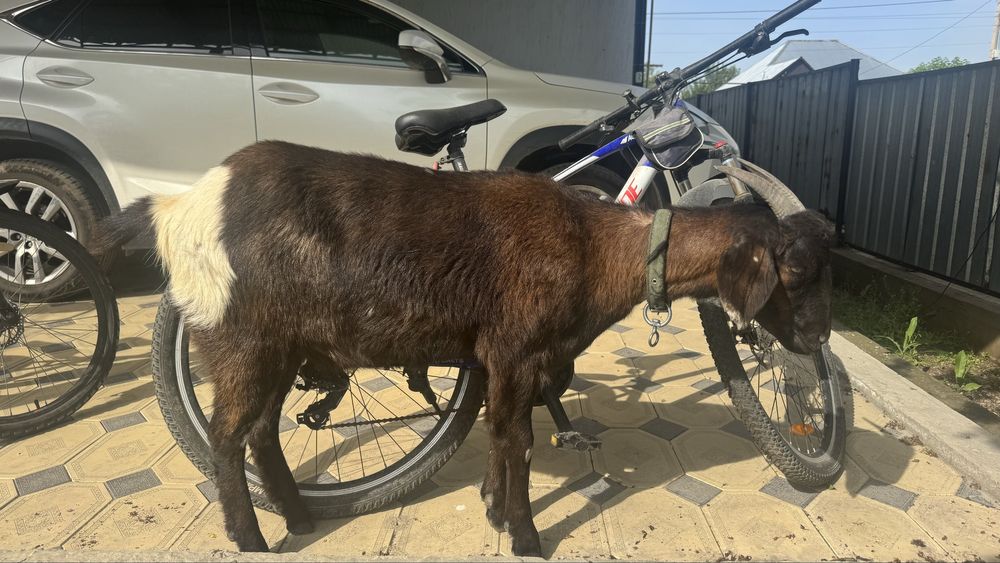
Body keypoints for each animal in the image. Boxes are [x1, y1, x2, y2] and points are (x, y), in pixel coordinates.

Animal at [91, 140, 835, 557]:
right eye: (795, 272)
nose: (820, 336)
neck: (596, 246)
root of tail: (184, 208)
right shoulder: (517, 349)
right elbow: (518, 440)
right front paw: (526, 536)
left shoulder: (504, 359)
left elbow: (502, 431)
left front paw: (494, 510)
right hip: (245, 339)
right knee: (226, 437)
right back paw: (250, 538)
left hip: (283, 345)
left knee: (262, 434)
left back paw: (299, 519)